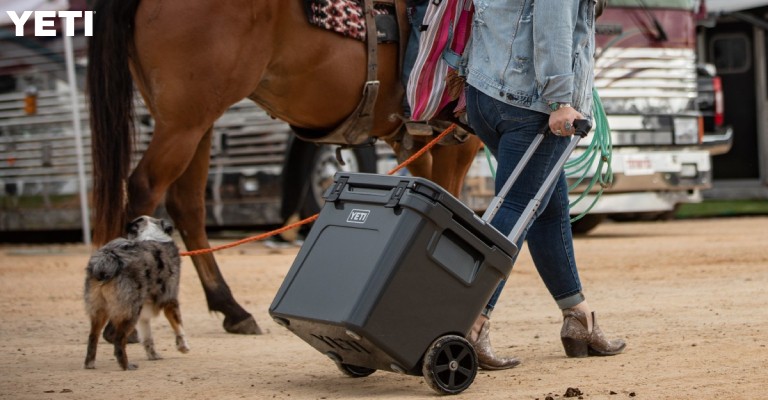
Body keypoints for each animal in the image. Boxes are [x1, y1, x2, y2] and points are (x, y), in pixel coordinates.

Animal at [83, 217, 190, 370]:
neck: (149, 233)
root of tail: (108, 257)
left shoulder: (144, 310)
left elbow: (147, 337)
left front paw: (153, 355)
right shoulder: (170, 300)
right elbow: (178, 326)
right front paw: (183, 347)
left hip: (100, 310)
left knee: (93, 336)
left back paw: (90, 364)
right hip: (130, 311)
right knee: (119, 338)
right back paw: (125, 365)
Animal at [87, 0, 484, 334]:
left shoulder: (419, 141)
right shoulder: (459, 137)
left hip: (193, 122)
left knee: (187, 205)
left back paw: (231, 309)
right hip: (183, 122)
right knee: (145, 188)